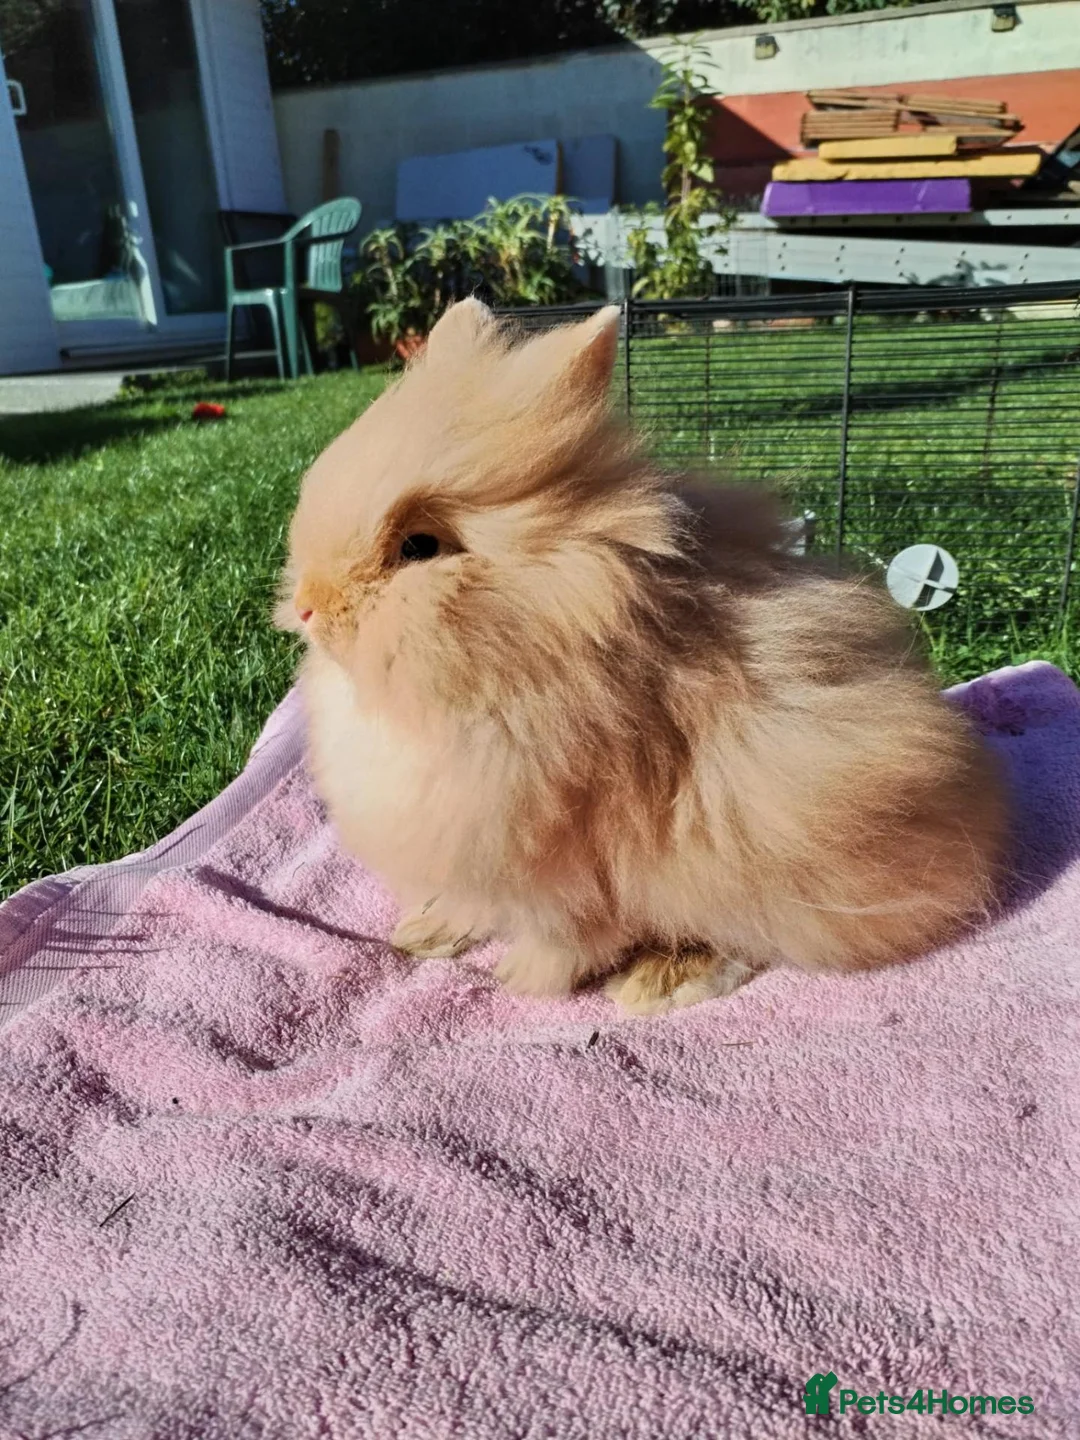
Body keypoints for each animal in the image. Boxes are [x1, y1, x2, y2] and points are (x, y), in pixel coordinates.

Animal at [276, 298, 1006, 1014]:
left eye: (420, 547)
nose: (309, 608)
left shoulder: (566, 866)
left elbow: (573, 937)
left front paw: (521, 980)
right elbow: (469, 907)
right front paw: (426, 933)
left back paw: (659, 982)